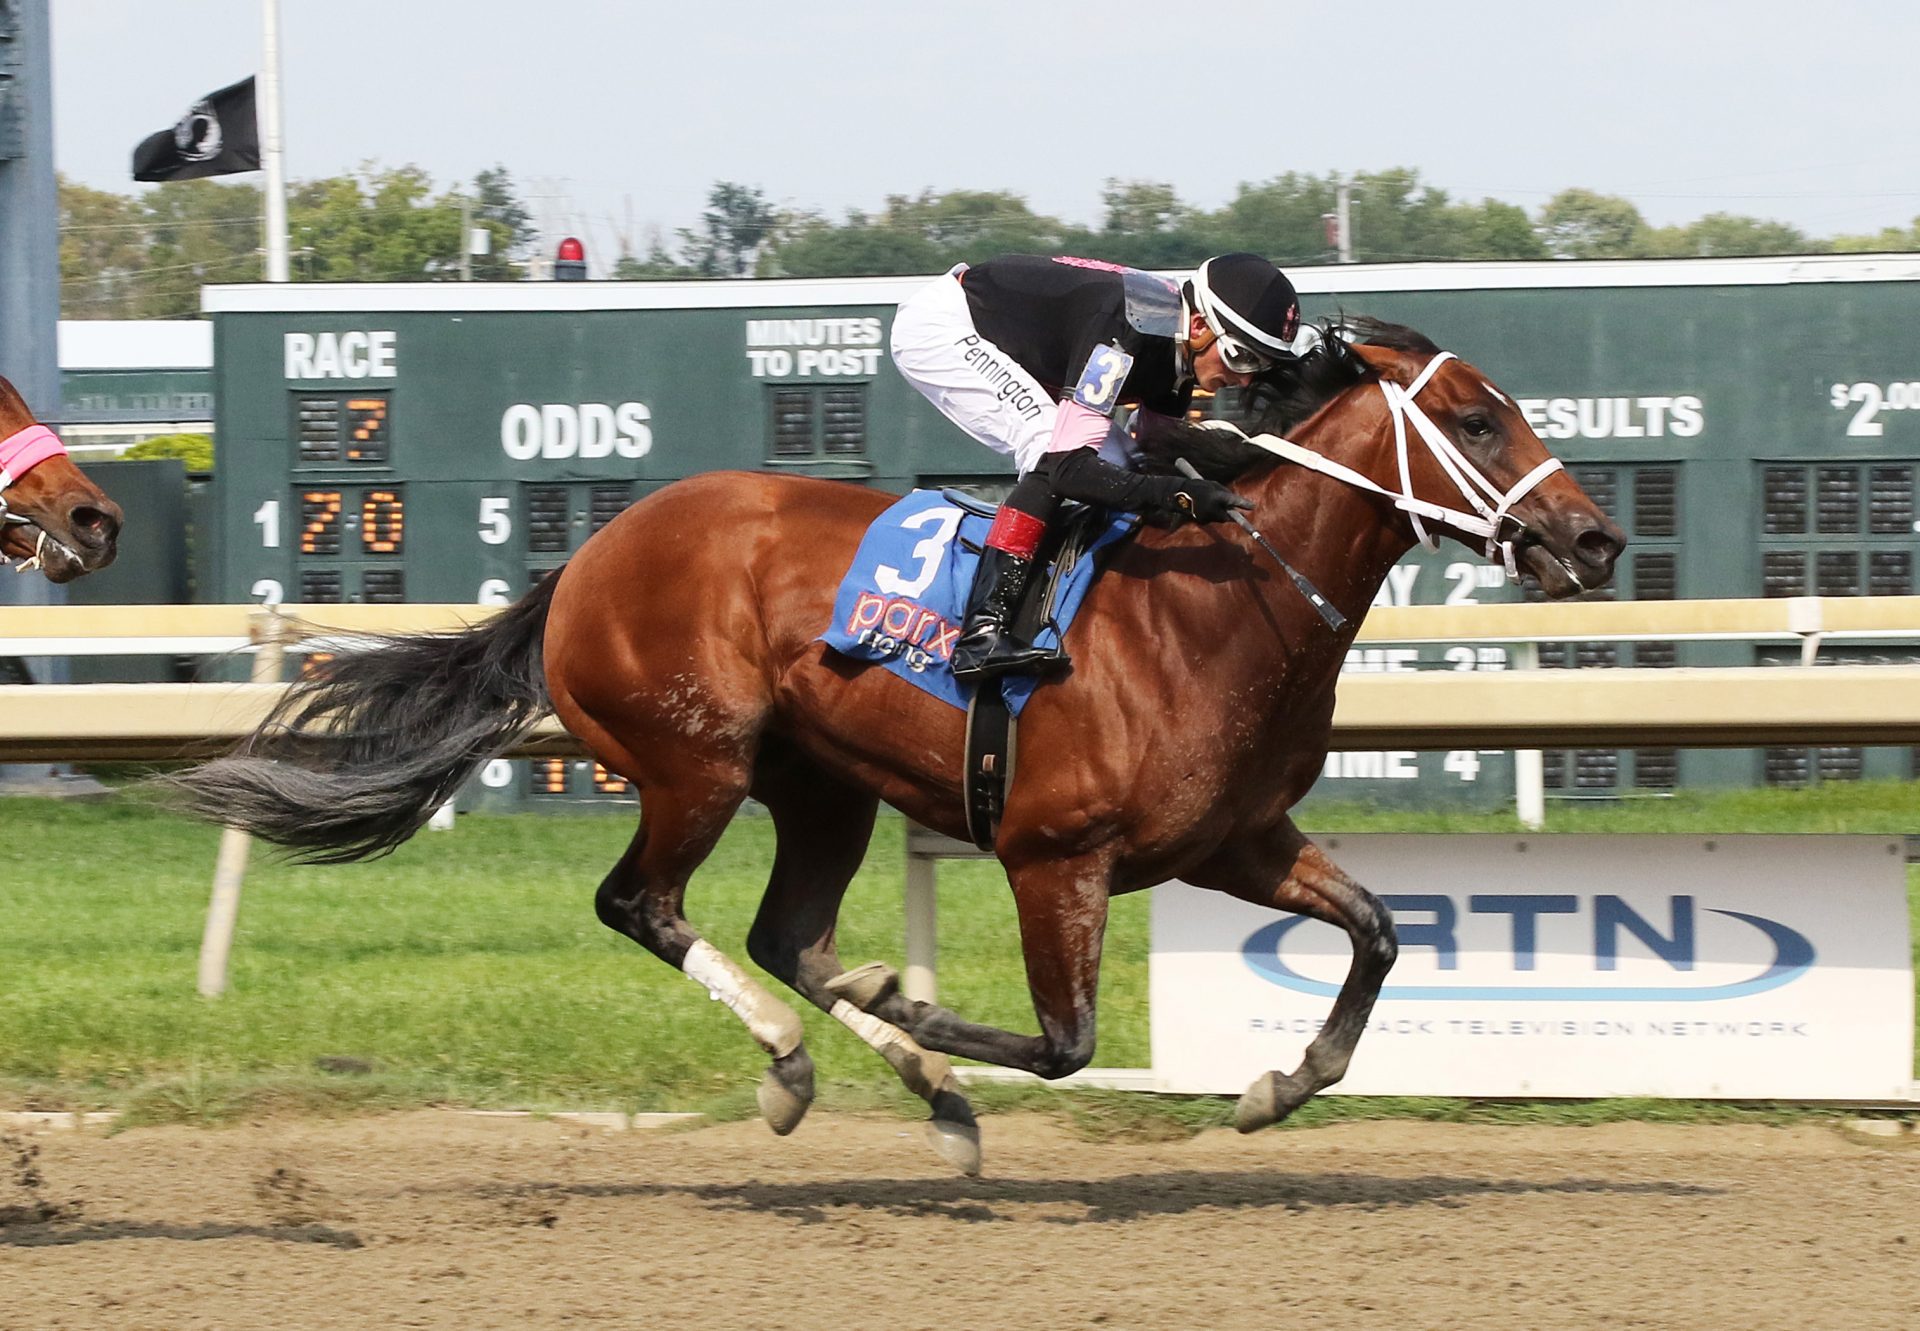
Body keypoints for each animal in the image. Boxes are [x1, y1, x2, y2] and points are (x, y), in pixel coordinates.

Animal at [176, 324, 1620, 1175]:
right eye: (1479, 421)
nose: (1597, 538)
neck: (1217, 604)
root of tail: (587, 557)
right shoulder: (1054, 854)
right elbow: (1066, 1041)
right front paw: (920, 1007)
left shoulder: (1238, 841)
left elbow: (1378, 928)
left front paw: (1279, 1084)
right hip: (695, 762)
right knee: (644, 903)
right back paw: (803, 1061)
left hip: (822, 789)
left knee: (784, 934)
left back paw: (922, 1084)